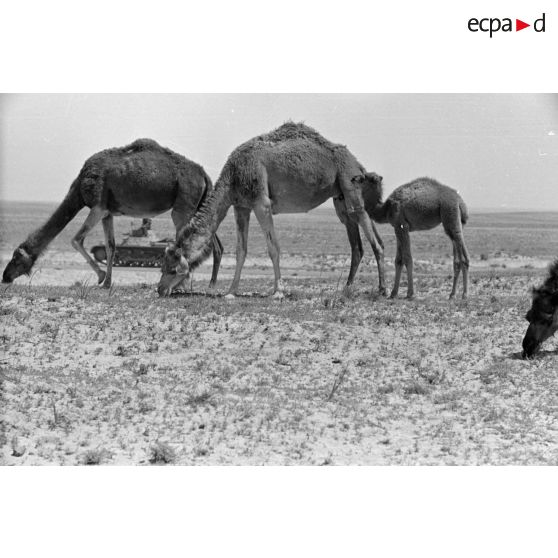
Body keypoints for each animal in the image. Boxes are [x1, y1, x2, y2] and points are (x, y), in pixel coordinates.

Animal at [2, 139, 225, 288]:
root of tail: (204, 175)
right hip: (200, 204)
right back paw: (212, 284)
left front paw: (101, 277)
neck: (79, 187)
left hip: (183, 205)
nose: (4, 277)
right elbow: (111, 245)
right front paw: (107, 283)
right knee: (215, 242)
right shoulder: (107, 212)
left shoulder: (97, 205)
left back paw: (181, 284)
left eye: (15, 258)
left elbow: (76, 239)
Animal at [156, 121, 384, 300]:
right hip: (340, 198)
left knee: (373, 238)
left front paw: (278, 292)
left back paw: (382, 290)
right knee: (356, 241)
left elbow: (273, 247)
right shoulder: (241, 206)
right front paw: (230, 292)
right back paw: (346, 289)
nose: (160, 289)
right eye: (162, 266)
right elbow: (241, 250)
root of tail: (357, 163)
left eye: (172, 269)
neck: (233, 176)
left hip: (350, 183)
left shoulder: (261, 204)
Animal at [340, 175, 470, 300]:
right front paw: (393, 293)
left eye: (363, 178)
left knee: (463, 254)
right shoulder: (397, 227)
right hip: (455, 221)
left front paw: (409, 294)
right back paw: (452, 295)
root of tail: (460, 201)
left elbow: (408, 258)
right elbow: (398, 260)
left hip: (450, 213)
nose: (353, 179)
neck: (385, 208)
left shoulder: (402, 226)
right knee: (456, 257)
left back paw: (464, 295)